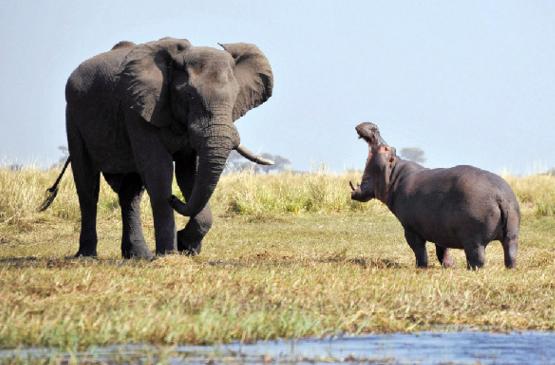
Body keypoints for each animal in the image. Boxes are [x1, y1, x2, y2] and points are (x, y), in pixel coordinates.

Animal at [40, 37, 274, 258]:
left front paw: (185, 246)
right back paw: (87, 256)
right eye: (189, 96)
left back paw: (138, 256)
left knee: (130, 193)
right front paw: (170, 253)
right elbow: (159, 171)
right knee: (87, 185)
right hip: (73, 116)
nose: (174, 198)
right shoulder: (137, 109)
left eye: (235, 97)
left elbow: (189, 175)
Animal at [352, 122, 520, 268]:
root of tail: (500, 196)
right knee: (510, 253)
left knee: (477, 259)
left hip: (474, 240)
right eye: (392, 148)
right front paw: (450, 266)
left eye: (386, 149)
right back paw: (509, 268)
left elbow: (419, 250)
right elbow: (442, 250)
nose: (374, 127)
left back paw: (472, 269)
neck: (394, 175)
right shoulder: (440, 229)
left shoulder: (410, 229)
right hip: (512, 234)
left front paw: (421, 267)